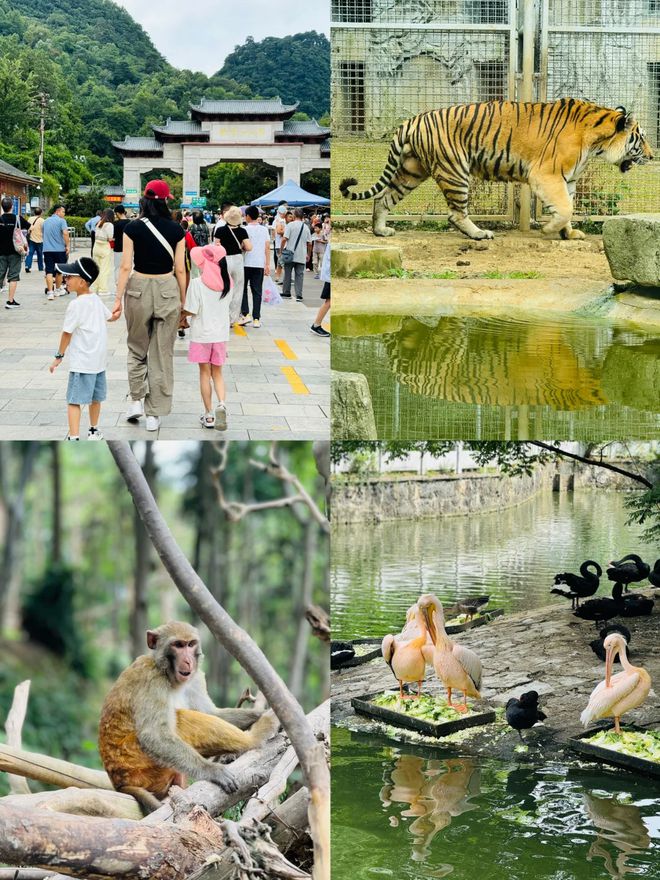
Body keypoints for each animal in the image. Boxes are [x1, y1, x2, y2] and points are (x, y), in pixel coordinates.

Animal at [99, 620, 280, 812]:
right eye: (178, 645)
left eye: (191, 644)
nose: (188, 660)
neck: (168, 674)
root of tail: (119, 783)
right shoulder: (151, 679)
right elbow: (153, 734)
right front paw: (210, 770)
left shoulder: (196, 678)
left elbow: (211, 713)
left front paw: (260, 713)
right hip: (136, 763)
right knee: (179, 719)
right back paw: (256, 737)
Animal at [342, 99, 652, 241]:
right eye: (642, 138)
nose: (652, 155)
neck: (597, 142)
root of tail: (412, 120)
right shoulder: (545, 175)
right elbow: (564, 208)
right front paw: (549, 229)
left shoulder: (570, 179)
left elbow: (570, 207)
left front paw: (569, 233)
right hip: (455, 171)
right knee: (455, 214)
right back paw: (480, 234)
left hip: (412, 171)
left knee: (383, 198)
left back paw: (381, 231)